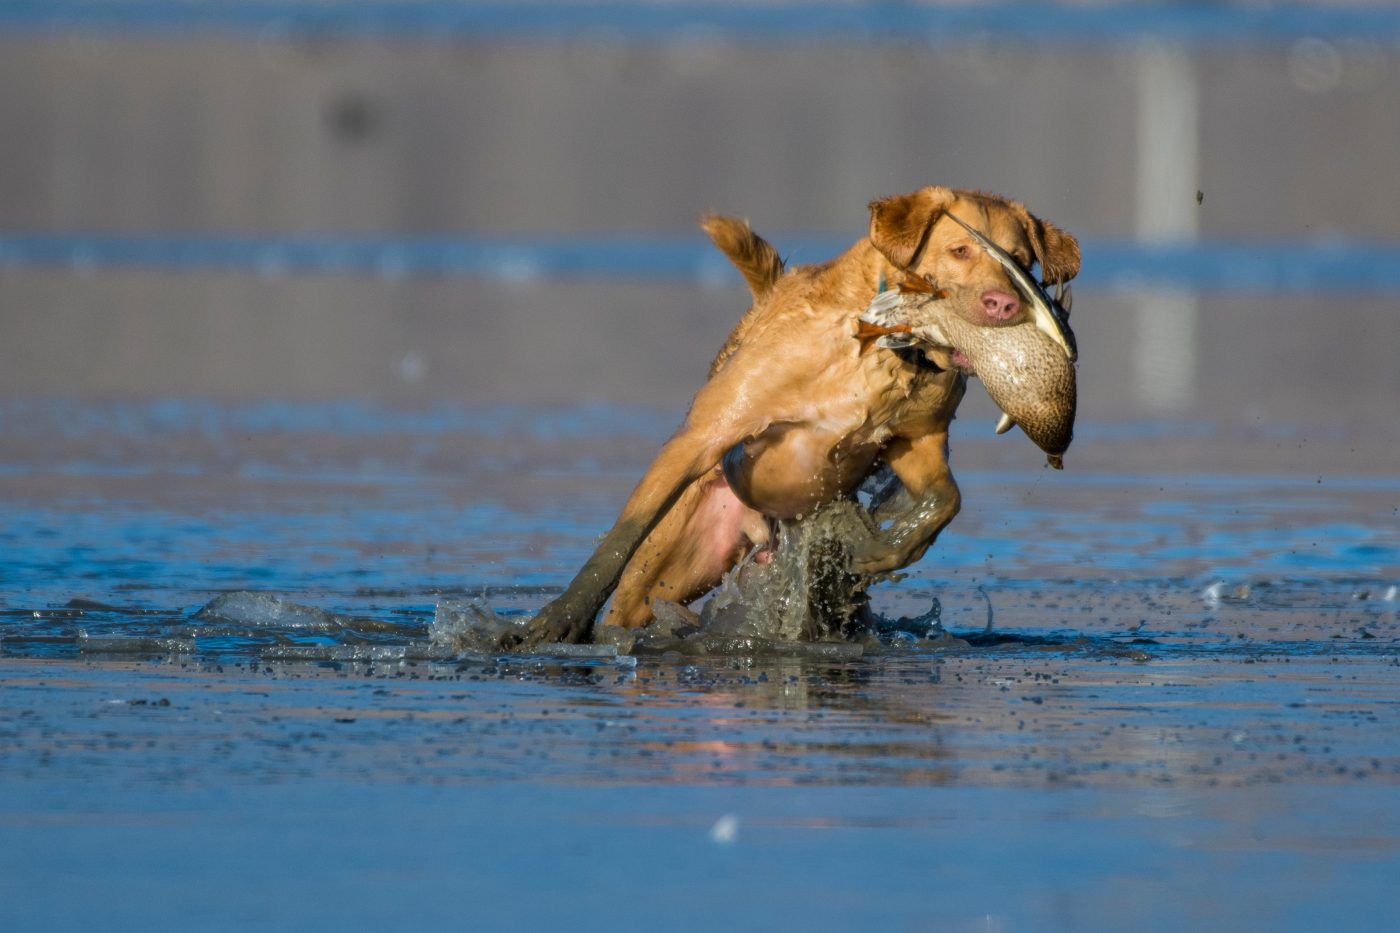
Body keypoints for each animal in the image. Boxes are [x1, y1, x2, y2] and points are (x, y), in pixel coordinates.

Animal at [506, 184, 1080, 644]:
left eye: (1020, 258)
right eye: (960, 249)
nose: (1004, 304)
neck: (879, 346)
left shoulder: (917, 439)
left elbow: (945, 498)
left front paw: (885, 548)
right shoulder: (704, 436)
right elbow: (621, 537)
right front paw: (559, 618)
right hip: (674, 556)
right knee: (629, 596)